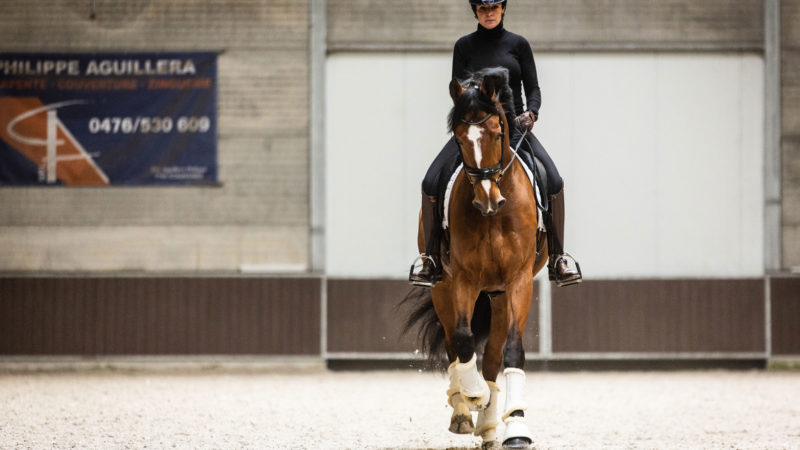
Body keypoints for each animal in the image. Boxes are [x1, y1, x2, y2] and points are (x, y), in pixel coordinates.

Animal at [404, 67, 548, 450]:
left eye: (498, 132)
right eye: (459, 138)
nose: (487, 200)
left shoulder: (518, 280)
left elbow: (512, 351)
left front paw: (516, 426)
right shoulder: (463, 278)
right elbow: (463, 339)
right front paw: (472, 395)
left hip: (498, 296)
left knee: (495, 353)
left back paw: (489, 425)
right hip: (444, 286)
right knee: (454, 342)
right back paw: (464, 409)